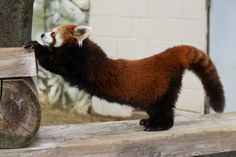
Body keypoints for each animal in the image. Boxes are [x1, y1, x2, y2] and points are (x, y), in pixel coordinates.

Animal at [24, 23, 226, 131]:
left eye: (53, 33)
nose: (42, 34)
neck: (81, 48)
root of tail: (168, 55)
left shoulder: (79, 63)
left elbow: (53, 62)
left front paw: (36, 46)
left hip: (164, 86)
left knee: (166, 108)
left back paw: (159, 125)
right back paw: (149, 121)